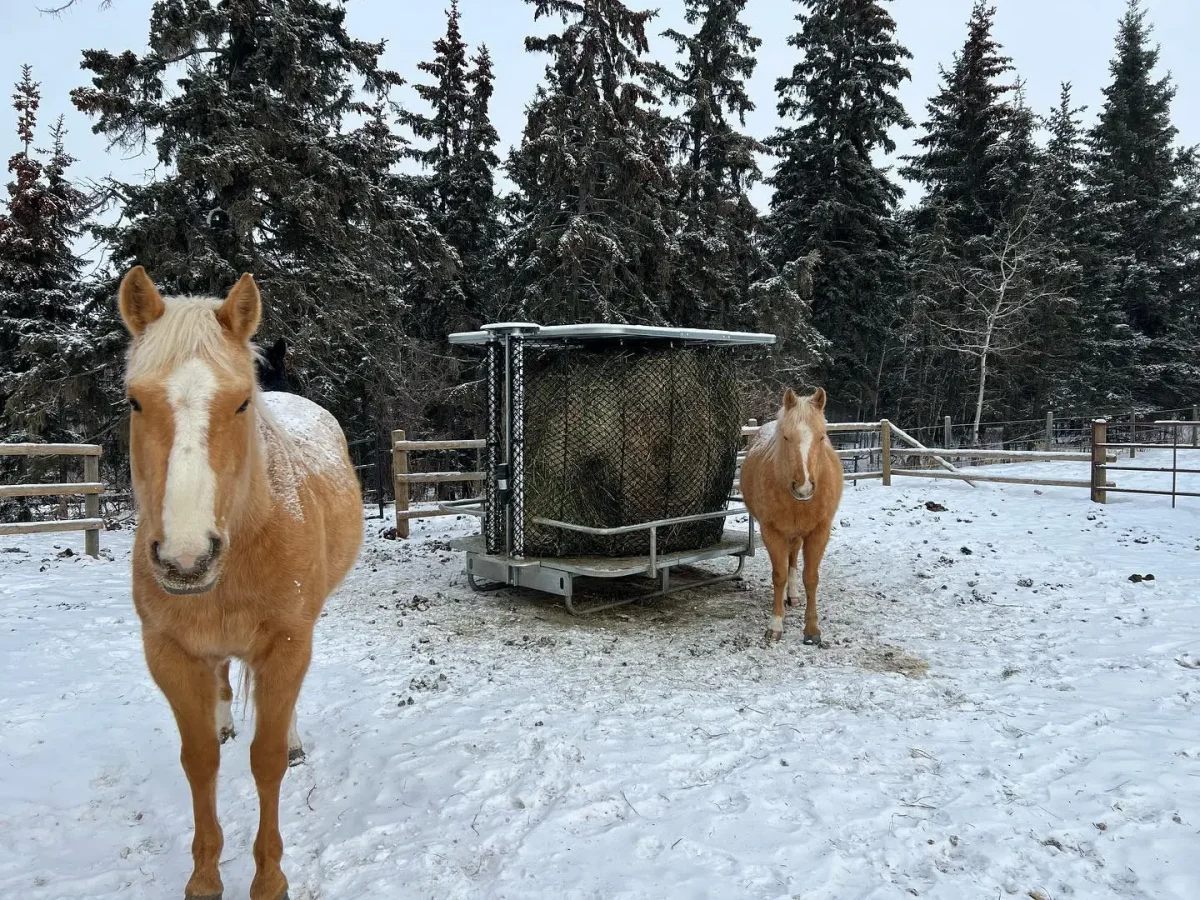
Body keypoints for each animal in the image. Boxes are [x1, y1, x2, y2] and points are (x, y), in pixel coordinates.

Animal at [118, 266, 363, 900]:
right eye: (134, 401)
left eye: (241, 404)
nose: (186, 560)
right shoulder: (169, 654)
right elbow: (200, 759)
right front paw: (204, 879)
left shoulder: (287, 643)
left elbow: (267, 758)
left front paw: (270, 879)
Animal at [739, 387, 843, 644]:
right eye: (786, 437)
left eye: (821, 437)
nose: (803, 488)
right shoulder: (772, 532)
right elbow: (779, 575)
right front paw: (775, 625)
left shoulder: (819, 532)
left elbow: (811, 577)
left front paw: (812, 630)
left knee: (794, 559)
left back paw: (794, 596)